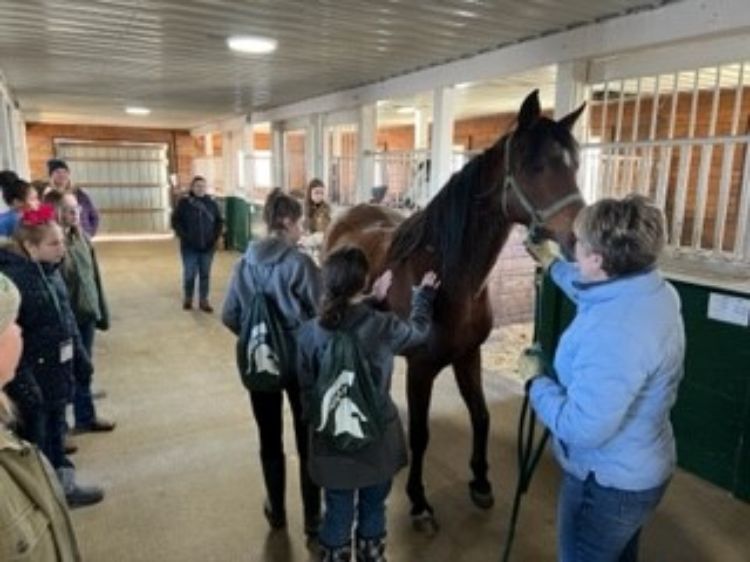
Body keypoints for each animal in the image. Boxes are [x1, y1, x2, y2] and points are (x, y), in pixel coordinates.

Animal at [326, 89, 592, 528]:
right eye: (535, 165)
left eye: (575, 165)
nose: (577, 237)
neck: (449, 274)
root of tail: (349, 214)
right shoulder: (421, 368)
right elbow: (421, 435)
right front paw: (418, 501)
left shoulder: (469, 355)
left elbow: (481, 416)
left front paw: (481, 482)